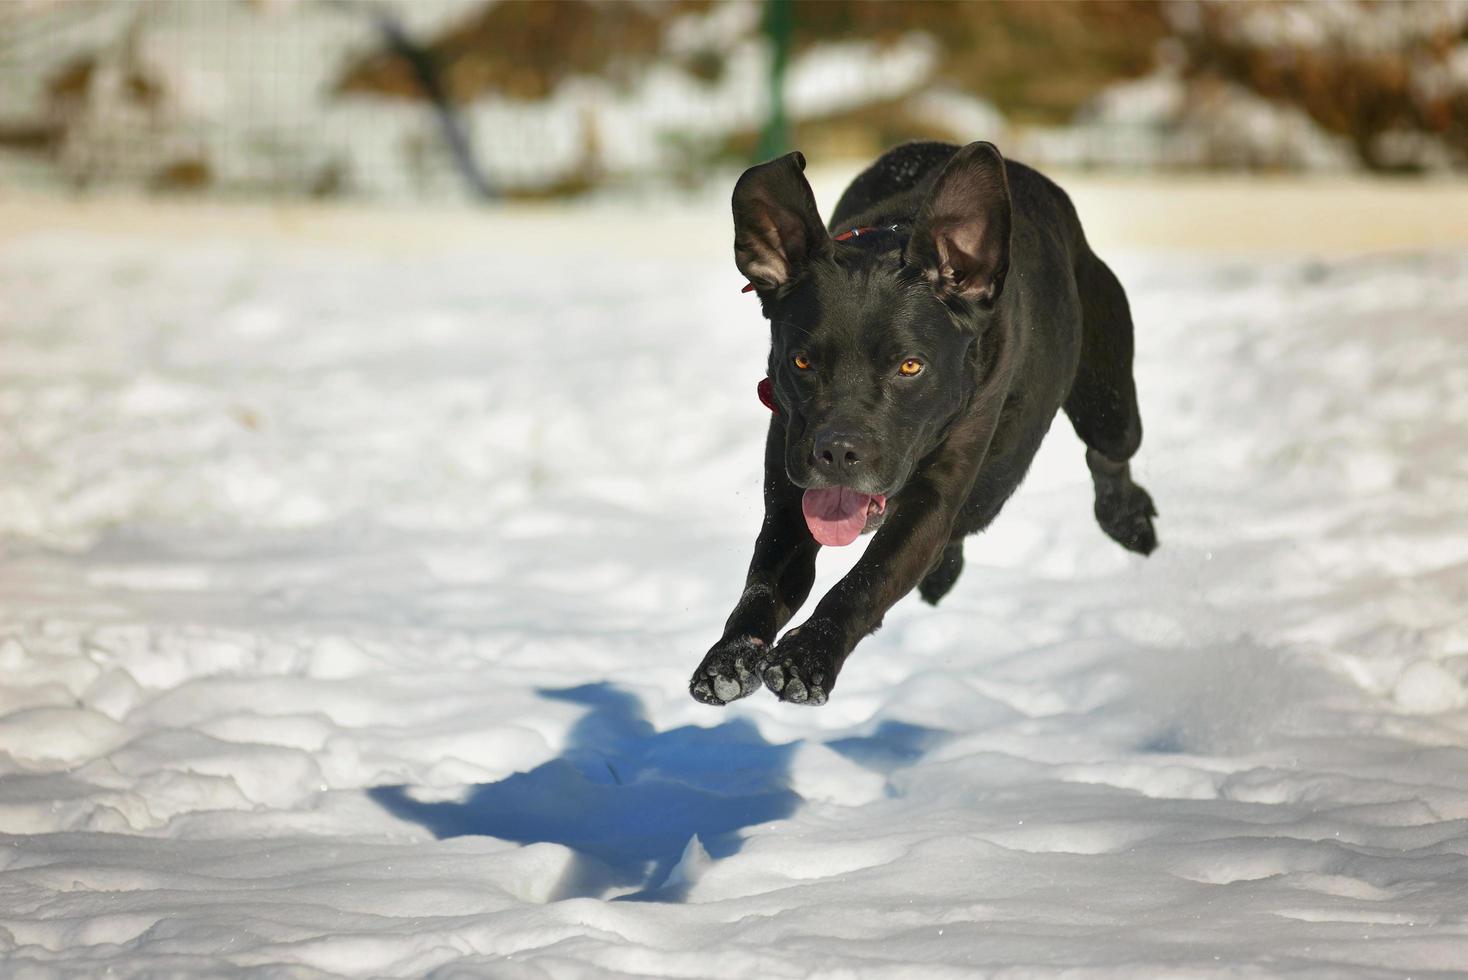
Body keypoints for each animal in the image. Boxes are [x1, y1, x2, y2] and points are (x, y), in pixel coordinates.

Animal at [687, 139, 1156, 704]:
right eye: (801, 361)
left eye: (910, 366)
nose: (838, 451)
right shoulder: (788, 487)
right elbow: (764, 576)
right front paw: (730, 656)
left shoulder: (934, 497)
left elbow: (870, 577)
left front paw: (808, 657)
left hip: (1105, 399)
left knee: (1109, 452)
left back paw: (1128, 518)